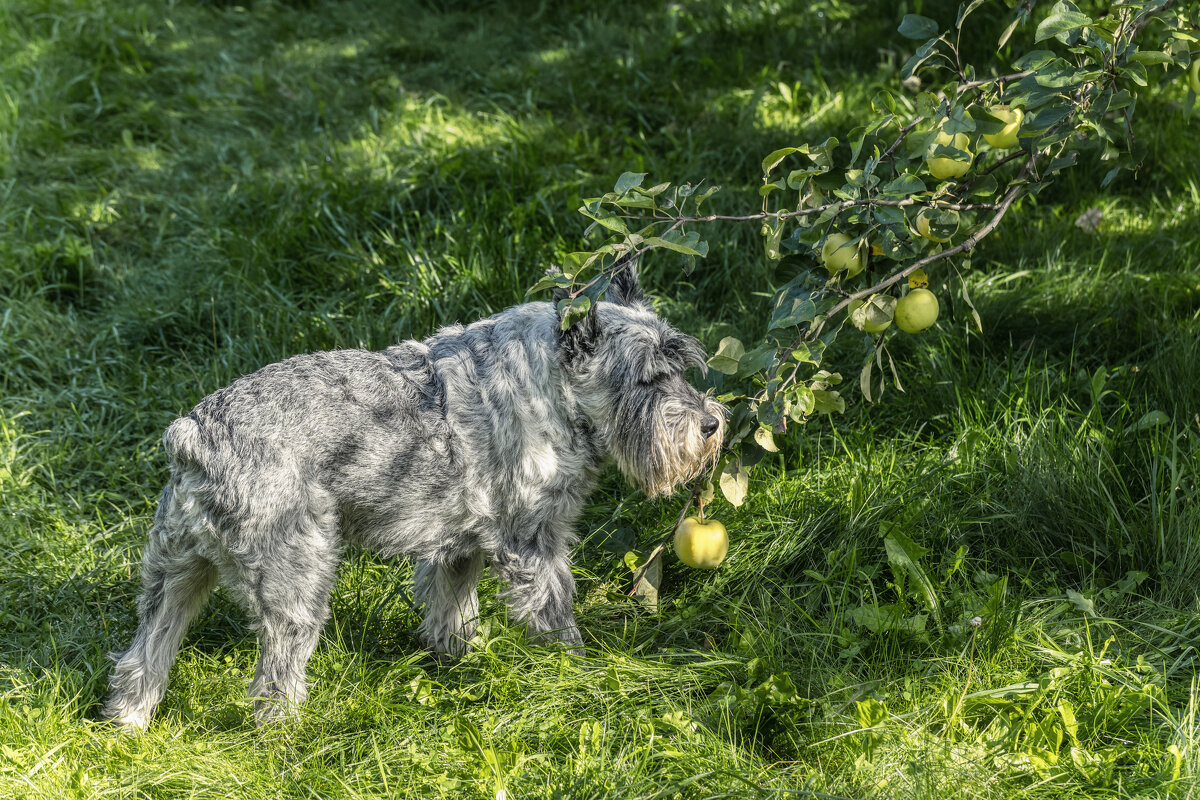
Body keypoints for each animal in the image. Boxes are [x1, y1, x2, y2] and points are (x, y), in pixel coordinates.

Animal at [103, 262, 720, 724]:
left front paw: (460, 661)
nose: (711, 424)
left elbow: (454, 614)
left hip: (174, 577)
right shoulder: (533, 544)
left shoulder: (460, 548)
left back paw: (128, 723)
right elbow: (554, 614)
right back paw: (287, 734)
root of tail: (195, 439)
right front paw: (575, 669)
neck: (553, 387)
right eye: (646, 378)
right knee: (274, 683)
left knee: (142, 659)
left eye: (682, 365)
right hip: (296, 585)